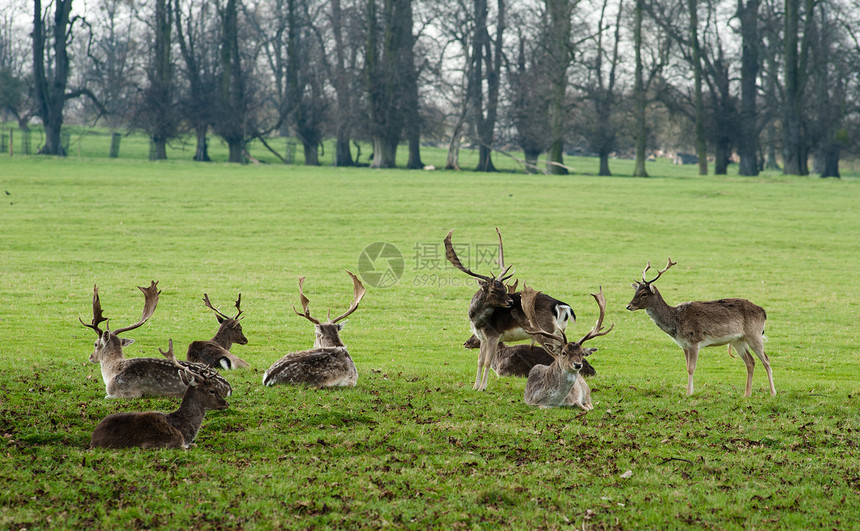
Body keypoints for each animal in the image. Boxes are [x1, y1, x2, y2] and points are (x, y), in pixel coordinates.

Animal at [77, 282, 230, 400]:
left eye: (95, 344)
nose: (91, 357)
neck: (112, 371)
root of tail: (228, 387)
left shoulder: (128, 392)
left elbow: (106, 396)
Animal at [444, 229, 576, 390]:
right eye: (493, 290)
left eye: (504, 288)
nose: (510, 301)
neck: (477, 321)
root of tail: (561, 305)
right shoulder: (483, 338)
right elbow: (479, 361)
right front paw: (474, 386)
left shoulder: (494, 334)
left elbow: (487, 361)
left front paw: (482, 387)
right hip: (558, 332)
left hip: (545, 332)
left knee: (557, 357)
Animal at [624, 260, 780, 396]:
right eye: (635, 292)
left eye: (644, 293)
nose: (628, 306)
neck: (676, 322)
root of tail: (763, 312)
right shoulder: (684, 345)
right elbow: (687, 367)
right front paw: (689, 391)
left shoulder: (694, 340)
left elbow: (691, 368)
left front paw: (689, 393)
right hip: (738, 340)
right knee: (750, 361)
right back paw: (747, 394)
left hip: (754, 334)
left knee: (766, 360)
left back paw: (773, 393)